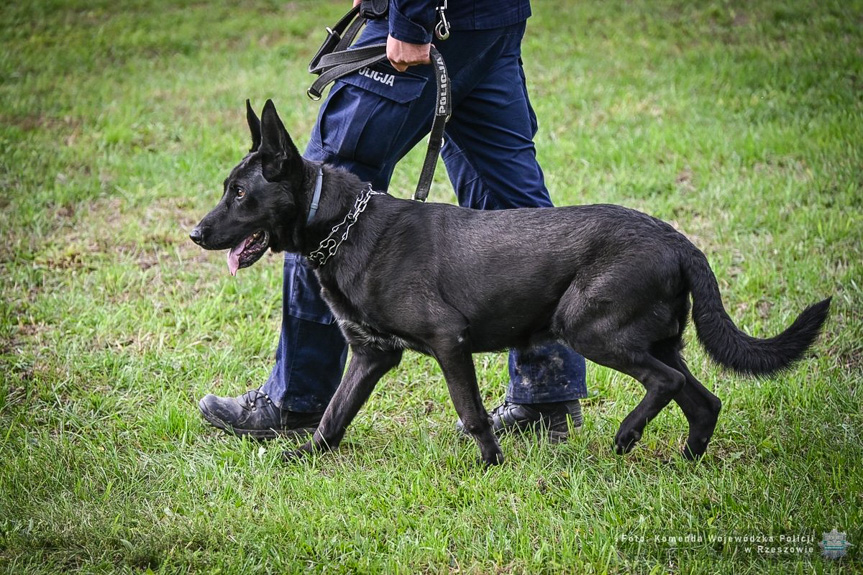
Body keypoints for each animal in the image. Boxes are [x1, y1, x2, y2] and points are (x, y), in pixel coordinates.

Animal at [191, 101, 832, 466]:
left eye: (240, 193)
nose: (195, 233)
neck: (342, 224)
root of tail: (680, 242)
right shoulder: (371, 356)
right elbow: (334, 415)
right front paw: (302, 457)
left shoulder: (448, 342)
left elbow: (471, 412)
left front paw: (491, 465)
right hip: (655, 338)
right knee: (703, 398)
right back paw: (688, 460)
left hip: (589, 327)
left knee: (668, 382)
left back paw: (626, 436)